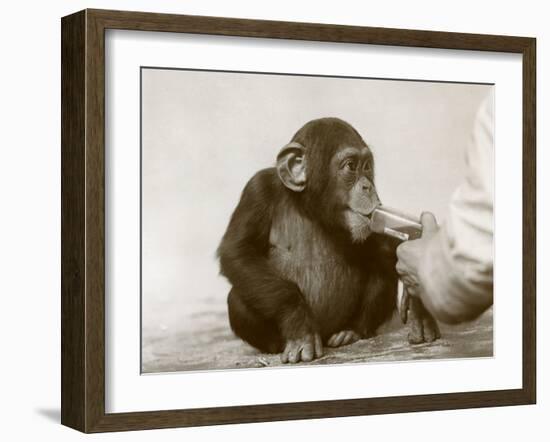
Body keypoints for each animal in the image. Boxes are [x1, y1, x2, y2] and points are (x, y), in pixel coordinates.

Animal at [219, 116, 440, 362]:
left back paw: (350, 332)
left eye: (367, 166)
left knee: (381, 272)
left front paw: (420, 304)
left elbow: (381, 245)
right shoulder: (257, 191)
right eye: (351, 166)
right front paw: (299, 327)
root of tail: (325, 335)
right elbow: (239, 251)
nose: (367, 185)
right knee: (237, 298)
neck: (308, 207)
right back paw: (277, 344)